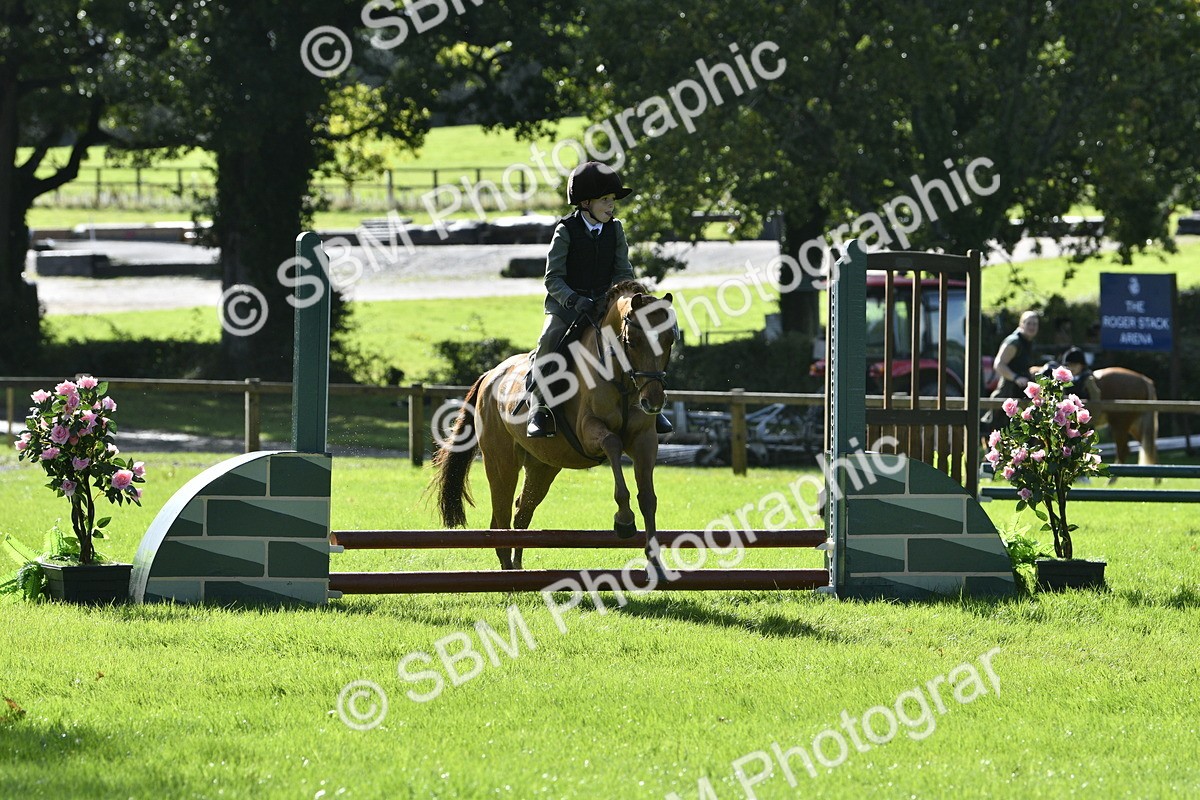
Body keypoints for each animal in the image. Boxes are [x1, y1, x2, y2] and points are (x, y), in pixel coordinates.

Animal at [431, 280, 676, 570]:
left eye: (669, 340)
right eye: (633, 342)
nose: (653, 401)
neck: (622, 380)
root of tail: (490, 375)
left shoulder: (644, 440)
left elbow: (648, 498)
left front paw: (656, 563)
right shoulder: (589, 432)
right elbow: (613, 443)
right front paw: (624, 520)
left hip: (542, 465)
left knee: (521, 512)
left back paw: (518, 568)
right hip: (501, 462)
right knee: (500, 520)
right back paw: (507, 572)